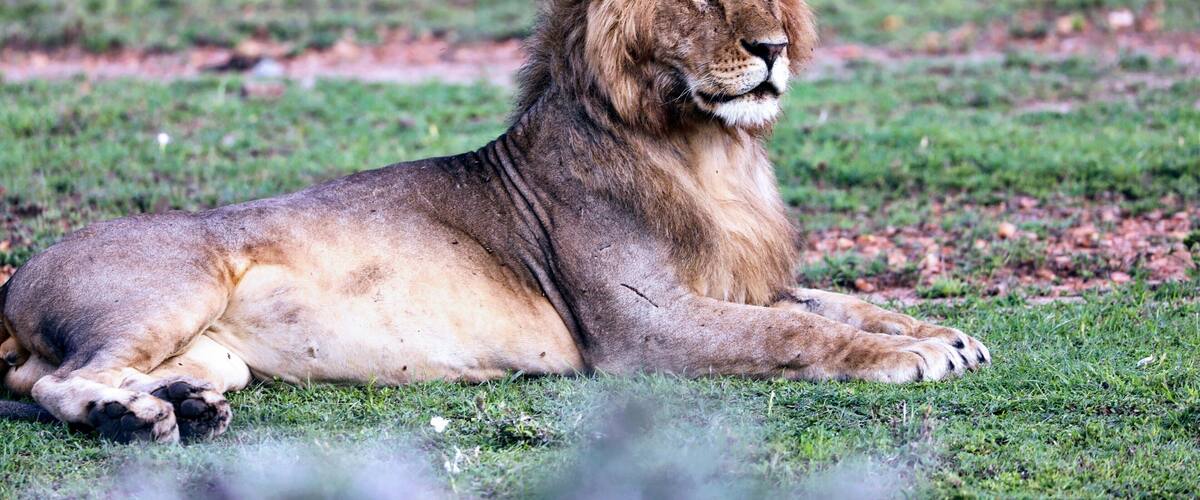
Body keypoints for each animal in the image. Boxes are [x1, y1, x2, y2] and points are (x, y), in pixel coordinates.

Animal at [0, 0, 989, 443]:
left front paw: (943, 334)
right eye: (701, 2)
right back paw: (133, 420)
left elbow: (834, 301)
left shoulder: (735, 280)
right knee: (59, 383)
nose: (772, 47)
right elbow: (792, 331)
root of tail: (16, 285)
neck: (706, 151)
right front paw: (908, 357)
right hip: (181, 283)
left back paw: (185, 406)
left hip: (218, 352)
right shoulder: (639, 329)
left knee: (76, 377)